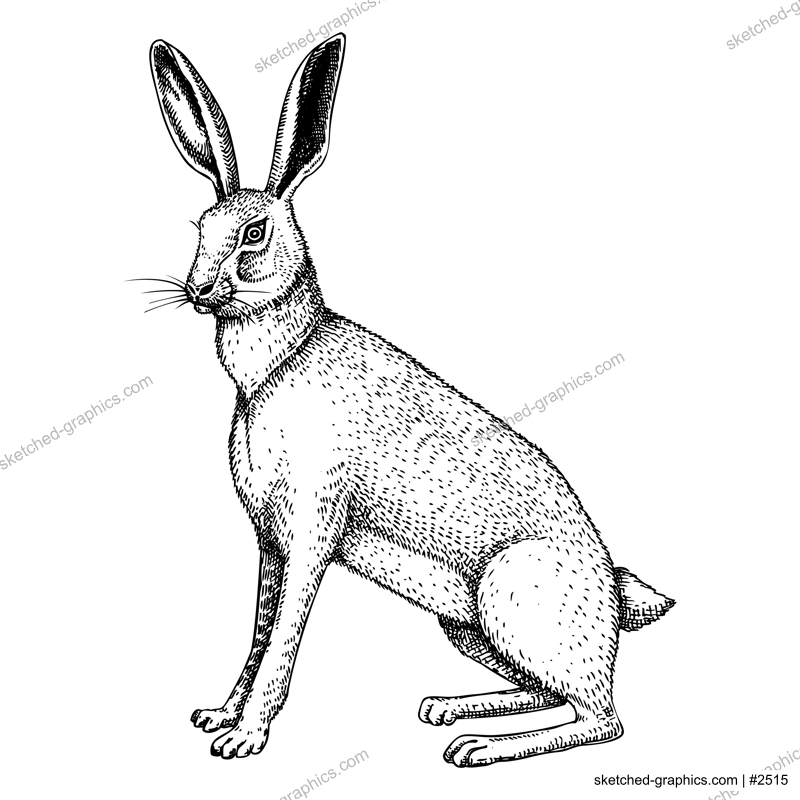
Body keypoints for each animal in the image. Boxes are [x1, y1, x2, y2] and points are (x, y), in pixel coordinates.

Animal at [148, 33, 674, 766]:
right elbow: (256, 631)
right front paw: (219, 715)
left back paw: (476, 747)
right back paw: (448, 709)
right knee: (550, 694)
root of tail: (614, 598)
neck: (282, 360)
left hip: (518, 596)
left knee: (601, 718)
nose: (198, 291)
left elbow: (282, 638)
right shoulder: (269, 545)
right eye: (199, 226)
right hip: (470, 629)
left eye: (254, 234)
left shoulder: (311, 531)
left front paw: (244, 738)